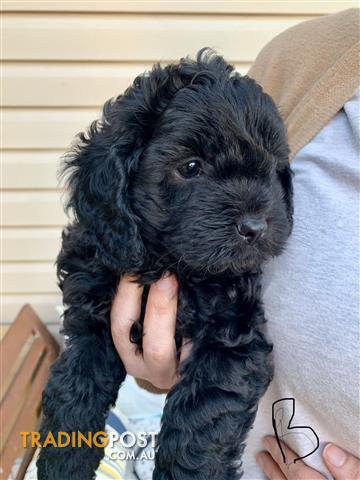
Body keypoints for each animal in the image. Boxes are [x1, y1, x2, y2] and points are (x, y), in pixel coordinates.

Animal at [37, 49, 292, 480]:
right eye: (190, 167)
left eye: (272, 168)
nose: (255, 227)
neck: (167, 262)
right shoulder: (93, 310)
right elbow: (77, 383)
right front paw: (63, 462)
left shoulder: (233, 337)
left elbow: (200, 423)